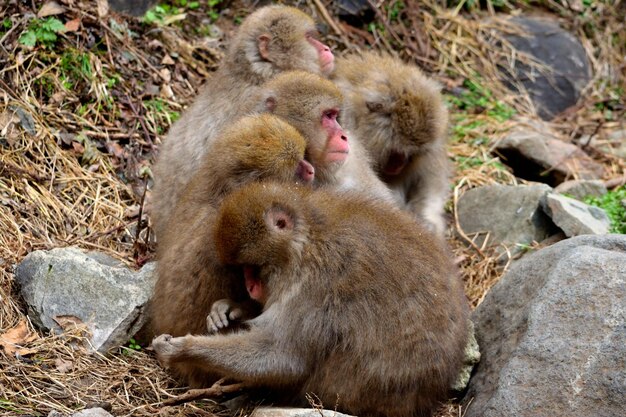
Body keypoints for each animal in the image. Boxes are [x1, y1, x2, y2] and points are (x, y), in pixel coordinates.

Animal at [152, 182, 468, 416]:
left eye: (254, 268)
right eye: (243, 270)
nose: (250, 287)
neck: (307, 242)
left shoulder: (313, 286)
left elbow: (284, 357)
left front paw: (185, 349)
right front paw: (231, 308)